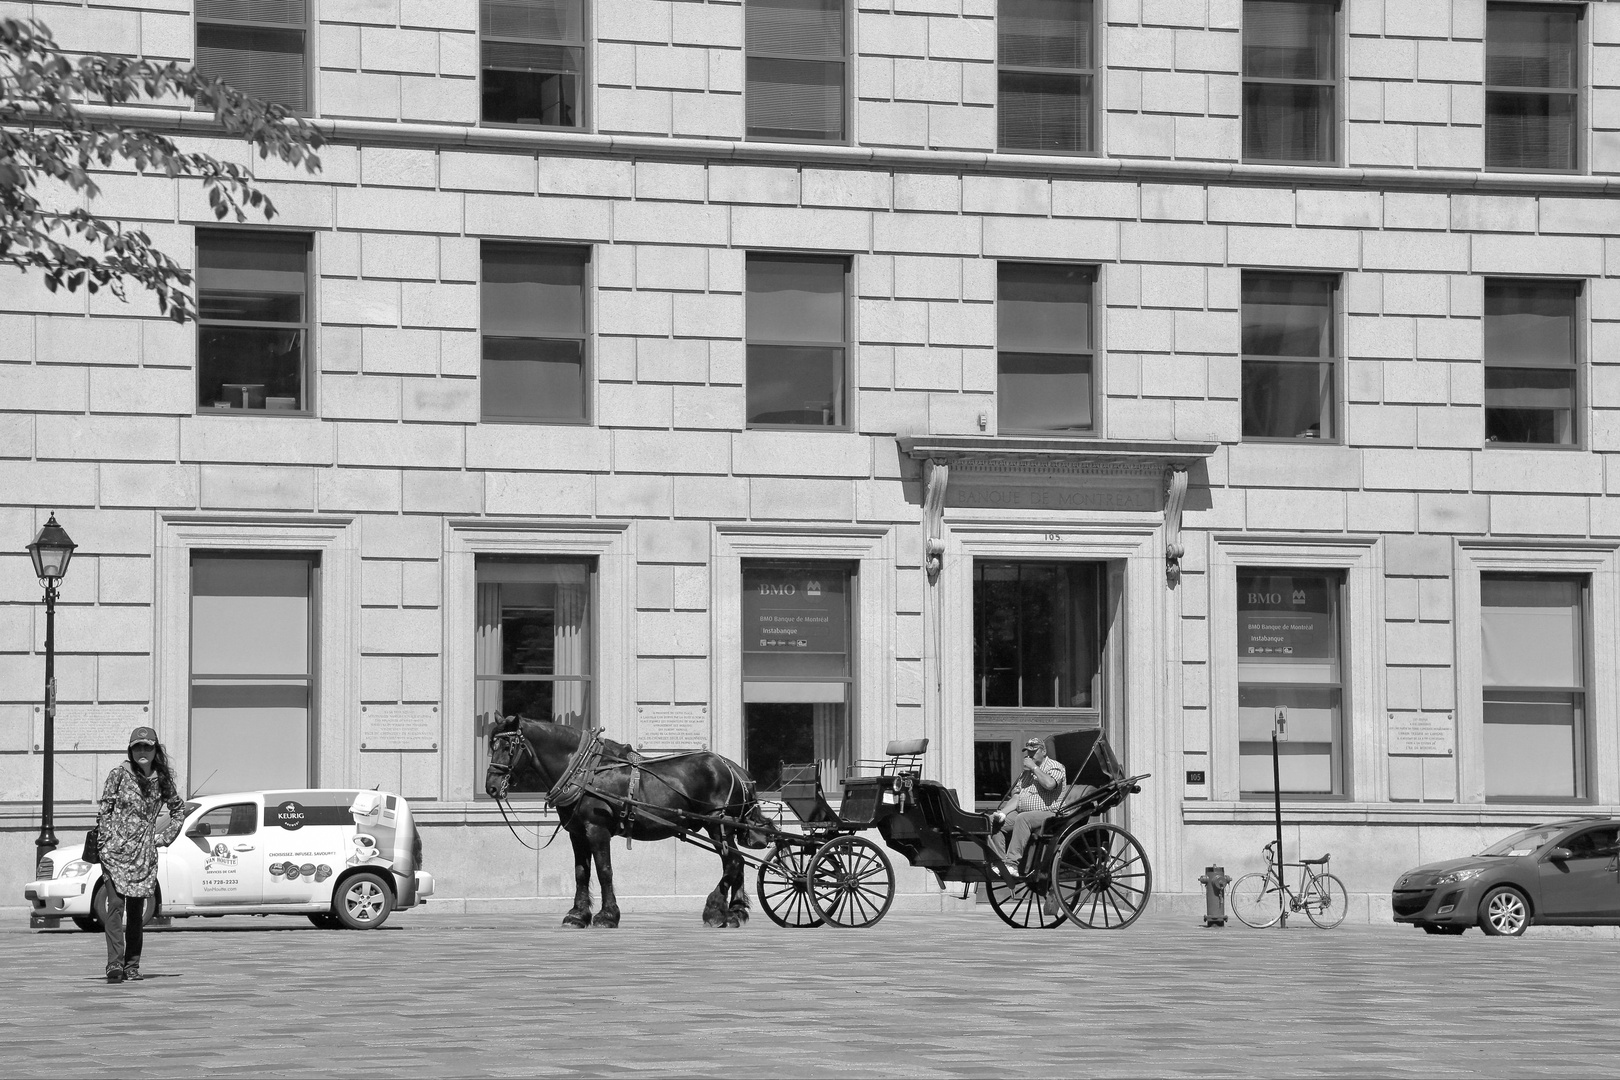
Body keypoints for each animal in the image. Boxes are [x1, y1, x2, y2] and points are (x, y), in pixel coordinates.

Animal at [479, 718, 764, 932]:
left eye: (509, 745)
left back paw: (715, 909)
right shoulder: (577, 833)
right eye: (492, 744)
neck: (582, 770)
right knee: (737, 862)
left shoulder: (597, 829)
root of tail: (734, 768)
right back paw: (733, 913)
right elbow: (581, 873)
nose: (491, 786)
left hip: (718, 825)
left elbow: (604, 871)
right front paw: (577, 915)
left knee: (733, 862)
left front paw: (607, 915)